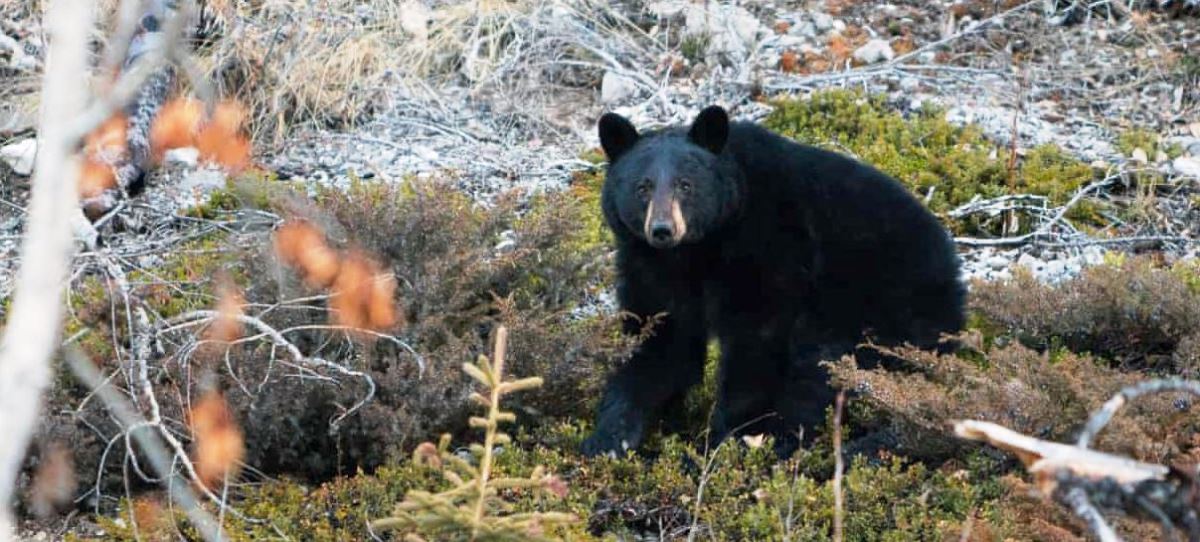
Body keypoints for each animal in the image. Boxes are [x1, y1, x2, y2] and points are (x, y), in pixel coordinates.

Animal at [580, 104, 964, 458]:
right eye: (642, 187)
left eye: (685, 185)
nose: (662, 229)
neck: (697, 250)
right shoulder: (650, 268)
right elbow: (659, 342)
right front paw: (609, 437)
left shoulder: (770, 248)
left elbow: (756, 344)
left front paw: (727, 438)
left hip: (878, 311)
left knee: (821, 371)